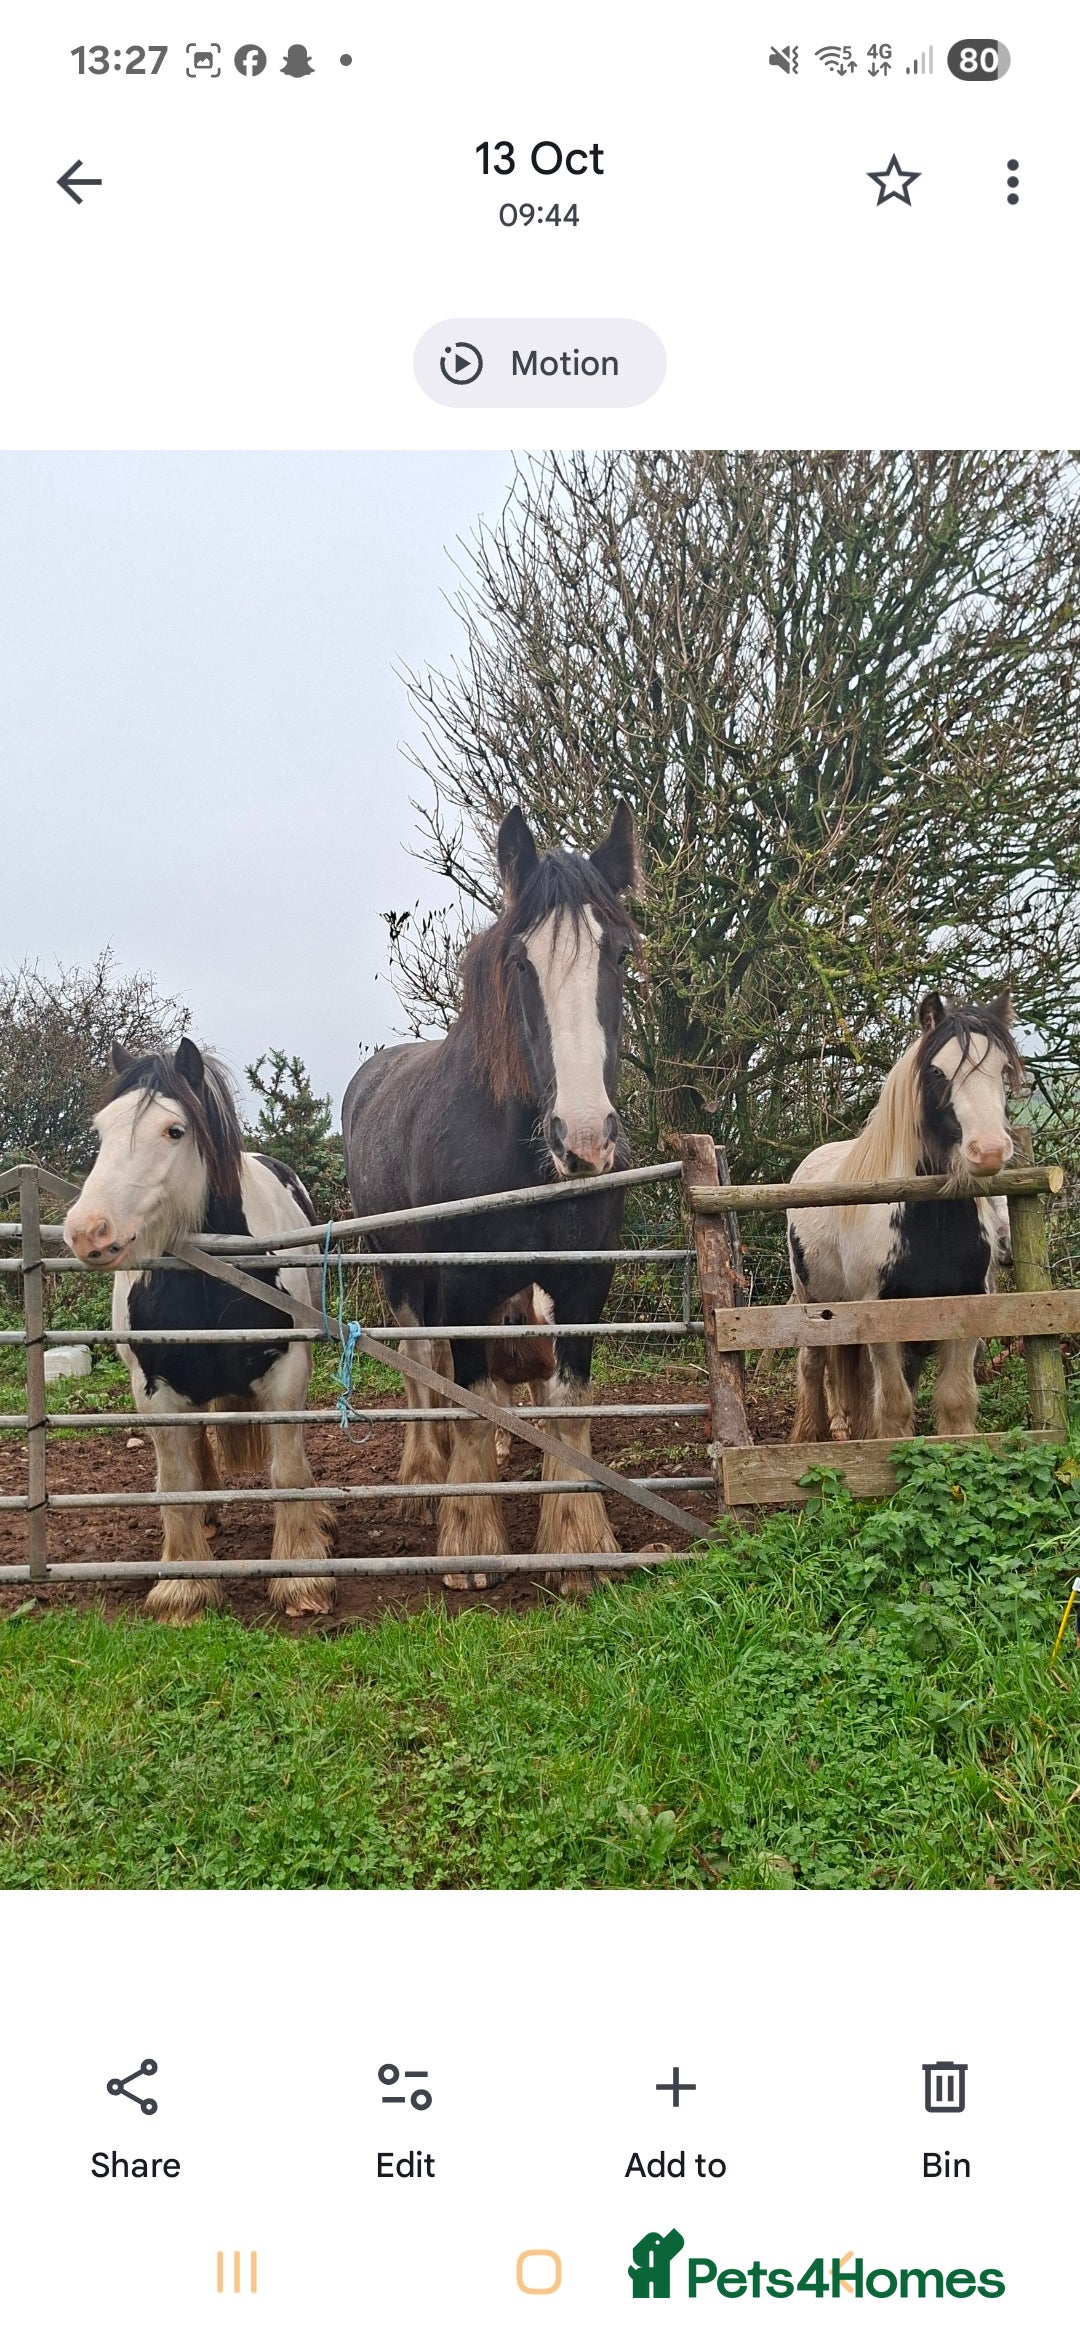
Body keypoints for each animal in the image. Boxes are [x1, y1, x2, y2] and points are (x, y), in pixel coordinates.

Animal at [63, 1038, 335, 1621]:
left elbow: (287, 1470)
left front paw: (301, 1575)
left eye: (174, 1131)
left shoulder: (285, 1372)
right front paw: (184, 1588)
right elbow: (177, 1481)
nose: (87, 1231)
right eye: (102, 1130)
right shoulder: (155, 1389)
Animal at [342, 802, 641, 1585]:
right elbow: (468, 1394)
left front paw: (576, 1541)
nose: (585, 1138)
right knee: (423, 1365)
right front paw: (470, 1538)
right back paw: (425, 1478)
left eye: (620, 956)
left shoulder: (581, 1282)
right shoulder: (462, 1282)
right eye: (521, 962)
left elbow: (567, 1399)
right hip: (398, 1271)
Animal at [786, 992, 1023, 1445]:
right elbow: (895, 1408)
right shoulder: (881, 1319)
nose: (988, 1151)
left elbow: (954, 1402)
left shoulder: (963, 1312)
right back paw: (810, 1436)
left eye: (1003, 1068)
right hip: (813, 1303)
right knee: (812, 1366)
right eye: (937, 1071)